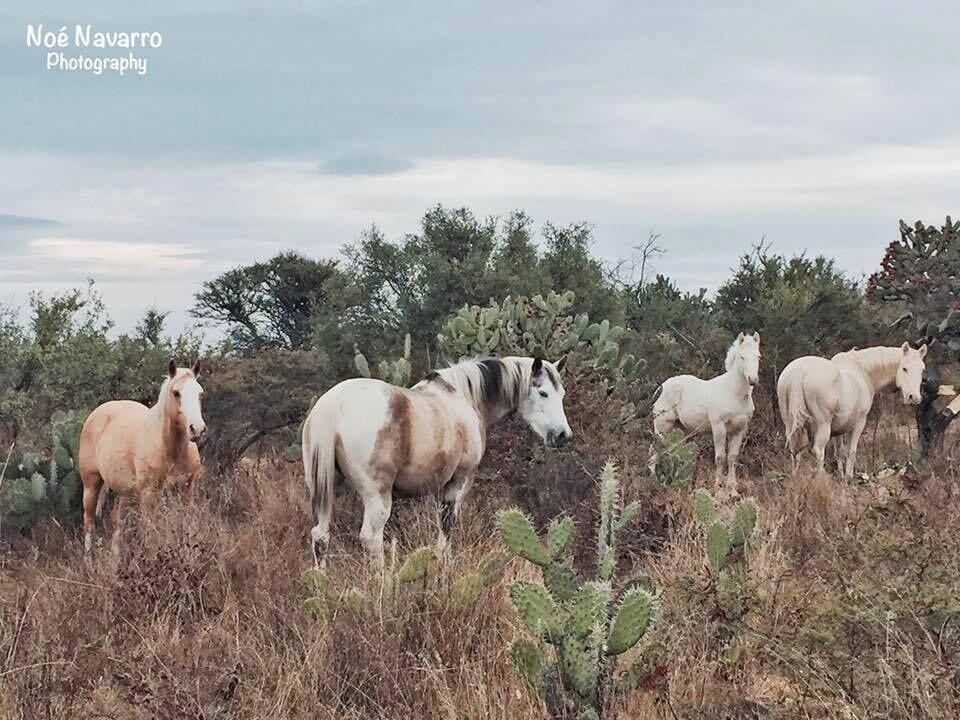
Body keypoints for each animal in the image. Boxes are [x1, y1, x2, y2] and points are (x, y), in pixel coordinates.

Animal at [78, 360, 206, 553]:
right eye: (176, 393)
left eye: (200, 394)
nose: (197, 429)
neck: (169, 448)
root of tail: (97, 413)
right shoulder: (149, 494)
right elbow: (152, 535)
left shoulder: (187, 490)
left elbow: (189, 527)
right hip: (91, 484)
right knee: (89, 522)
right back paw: (88, 558)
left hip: (124, 491)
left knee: (117, 520)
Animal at [300, 356, 572, 569]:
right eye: (543, 393)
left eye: (561, 394)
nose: (563, 435)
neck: (464, 397)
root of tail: (333, 404)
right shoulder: (458, 482)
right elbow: (446, 527)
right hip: (377, 496)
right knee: (371, 538)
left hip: (324, 490)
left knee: (321, 536)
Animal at [651, 332, 761, 486]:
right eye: (742, 357)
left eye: (758, 357)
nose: (753, 380)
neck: (734, 393)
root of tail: (660, 388)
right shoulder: (719, 427)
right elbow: (720, 457)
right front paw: (718, 484)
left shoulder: (740, 429)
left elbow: (732, 457)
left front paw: (732, 487)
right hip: (662, 427)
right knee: (656, 450)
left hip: (679, 428)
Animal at [777, 343, 927, 477]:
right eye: (904, 368)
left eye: (922, 370)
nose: (914, 397)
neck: (862, 370)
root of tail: (799, 371)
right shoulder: (859, 423)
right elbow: (851, 451)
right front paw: (849, 477)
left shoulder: (837, 429)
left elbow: (839, 451)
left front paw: (841, 475)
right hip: (823, 425)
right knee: (818, 451)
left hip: (790, 424)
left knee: (794, 450)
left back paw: (795, 476)